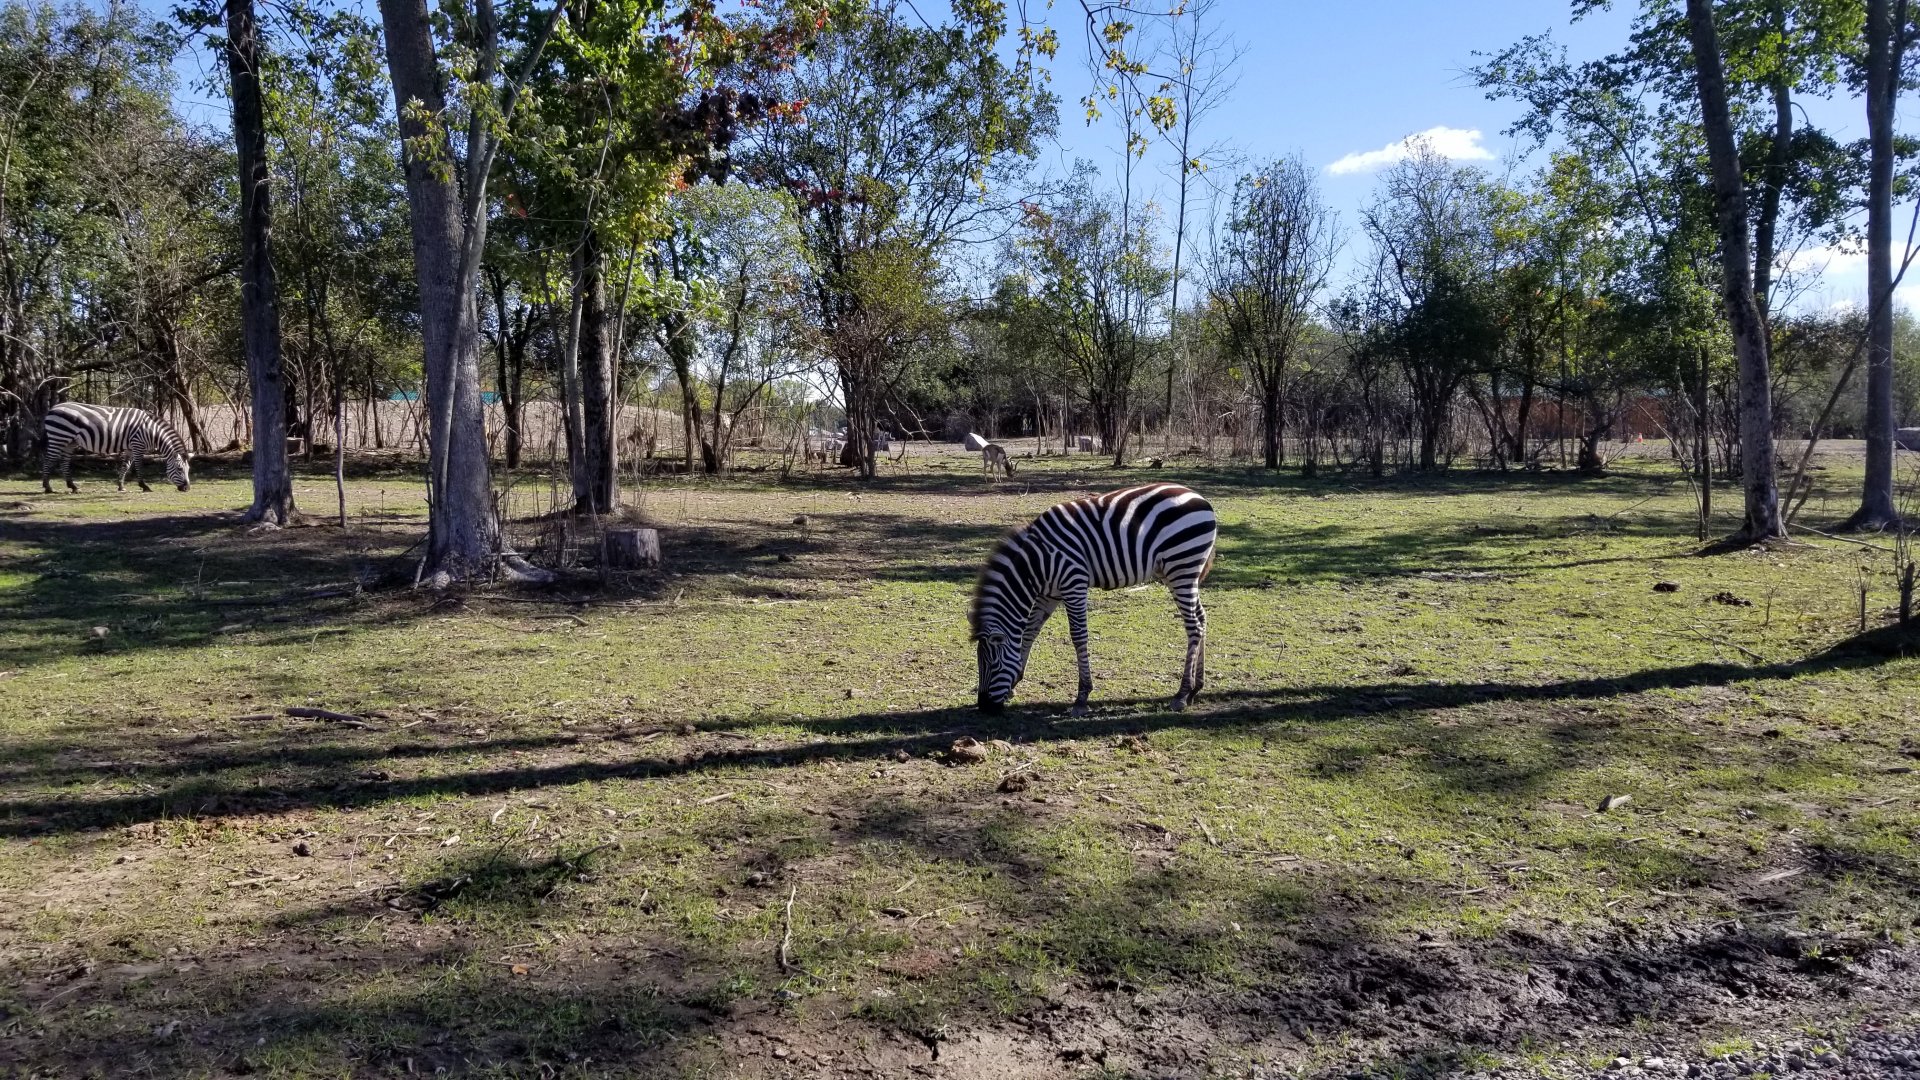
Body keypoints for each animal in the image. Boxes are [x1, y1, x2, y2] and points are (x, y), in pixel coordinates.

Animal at [40, 402, 192, 493]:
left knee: (64, 462)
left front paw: (121, 486)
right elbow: (139, 466)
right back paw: (47, 487)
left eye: (188, 470)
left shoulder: (131, 447)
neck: (151, 431)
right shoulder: (137, 445)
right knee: (48, 459)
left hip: (69, 442)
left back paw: (72, 486)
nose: (187, 488)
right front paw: (144, 486)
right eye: (179, 469)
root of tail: (52, 409)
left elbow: (125, 466)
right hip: (58, 437)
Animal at [970, 483, 1216, 715]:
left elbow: (1078, 636)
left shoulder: (1074, 583)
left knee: (1193, 626)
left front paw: (1082, 697)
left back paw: (1182, 694)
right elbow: (1030, 632)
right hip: (1177, 572)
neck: (1037, 564)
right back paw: (1196, 687)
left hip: (1181, 567)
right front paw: (1014, 683)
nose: (984, 707)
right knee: (1202, 618)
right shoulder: (1049, 594)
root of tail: (1199, 497)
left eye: (992, 664)